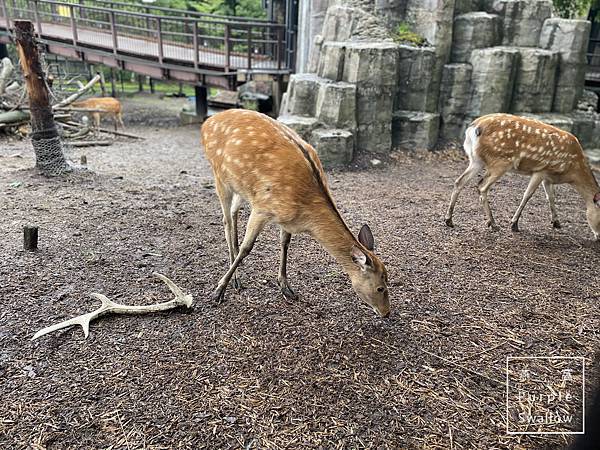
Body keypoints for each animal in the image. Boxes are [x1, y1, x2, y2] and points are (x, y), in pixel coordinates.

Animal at [199, 109, 392, 318]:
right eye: (380, 287)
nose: (387, 313)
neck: (305, 215)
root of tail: (207, 122)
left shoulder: (285, 219)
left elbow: (285, 244)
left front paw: (286, 287)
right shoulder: (262, 207)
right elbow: (246, 248)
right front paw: (219, 290)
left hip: (240, 187)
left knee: (234, 212)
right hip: (220, 177)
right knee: (226, 222)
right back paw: (235, 279)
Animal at [446, 113, 600, 239]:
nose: (598, 237)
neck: (571, 170)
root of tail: (474, 128)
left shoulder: (548, 177)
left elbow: (551, 197)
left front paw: (556, 222)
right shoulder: (541, 170)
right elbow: (527, 195)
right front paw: (514, 224)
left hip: (476, 160)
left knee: (459, 181)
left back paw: (449, 220)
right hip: (500, 162)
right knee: (482, 186)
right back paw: (493, 224)